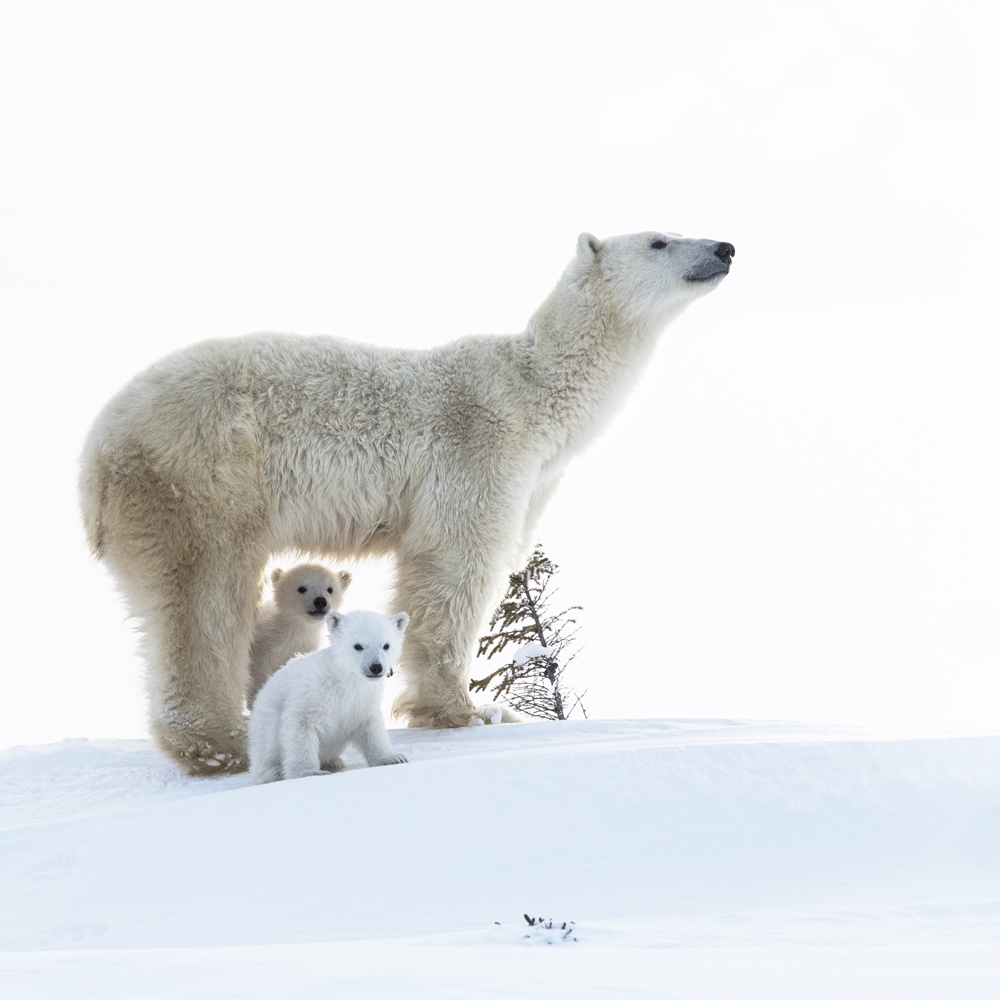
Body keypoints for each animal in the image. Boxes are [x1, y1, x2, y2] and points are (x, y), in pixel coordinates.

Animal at [247, 562, 352, 706]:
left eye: (330, 589)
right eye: (301, 588)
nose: (320, 601)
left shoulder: (305, 646)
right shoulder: (262, 648)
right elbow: (258, 674)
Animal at [248, 609, 409, 784]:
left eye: (386, 645)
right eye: (358, 646)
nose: (376, 667)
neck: (344, 678)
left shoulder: (362, 699)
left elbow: (371, 727)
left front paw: (393, 758)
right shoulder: (312, 693)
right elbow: (301, 726)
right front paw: (308, 772)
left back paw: (333, 762)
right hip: (265, 723)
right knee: (266, 747)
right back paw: (274, 772)